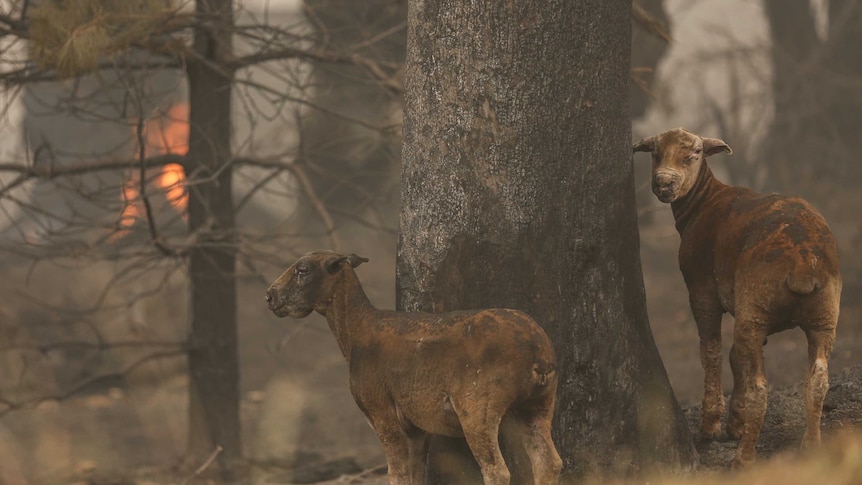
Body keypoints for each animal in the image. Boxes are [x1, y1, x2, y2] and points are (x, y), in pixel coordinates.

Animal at [266, 250, 564, 484]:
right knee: (549, 462)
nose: (270, 295)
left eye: (303, 269)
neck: (356, 333)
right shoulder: (417, 428)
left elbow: (397, 473)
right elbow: (415, 474)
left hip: (478, 408)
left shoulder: (381, 410)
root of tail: (537, 351)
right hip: (538, 405)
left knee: (496, 470)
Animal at [636, 126, 844, 466]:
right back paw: (811, 446)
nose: (664, 182)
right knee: (818, 379)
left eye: (695, 153)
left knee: (760, 388)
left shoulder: (702, 289)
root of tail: (802, 264)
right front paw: (735, 422)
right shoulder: (748, 309)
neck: (704, 201)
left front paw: (712, 426)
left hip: (757, 305)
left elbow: (711, 352)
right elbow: (736, 357)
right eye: (654, 152)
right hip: (820, 312)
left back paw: (744, 457)